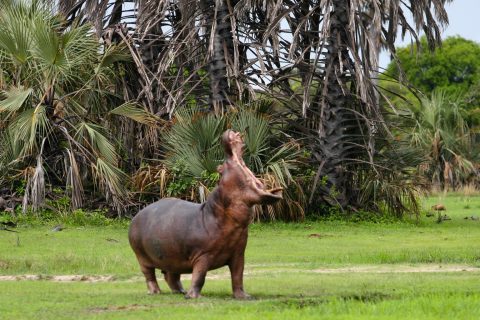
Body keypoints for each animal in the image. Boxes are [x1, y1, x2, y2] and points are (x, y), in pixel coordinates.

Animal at [129, 129, 284, 298]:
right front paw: (193, 297)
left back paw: (180, 291)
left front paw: (244, 297)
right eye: (220, 168)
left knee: (171, 275)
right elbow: (200, 276)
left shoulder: (238, 255)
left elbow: (238, 276)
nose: (231, 132)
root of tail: (137, 215)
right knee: (149, 274)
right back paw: (155, 292)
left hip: (172, 256)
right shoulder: (203, 255)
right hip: (142, 257)